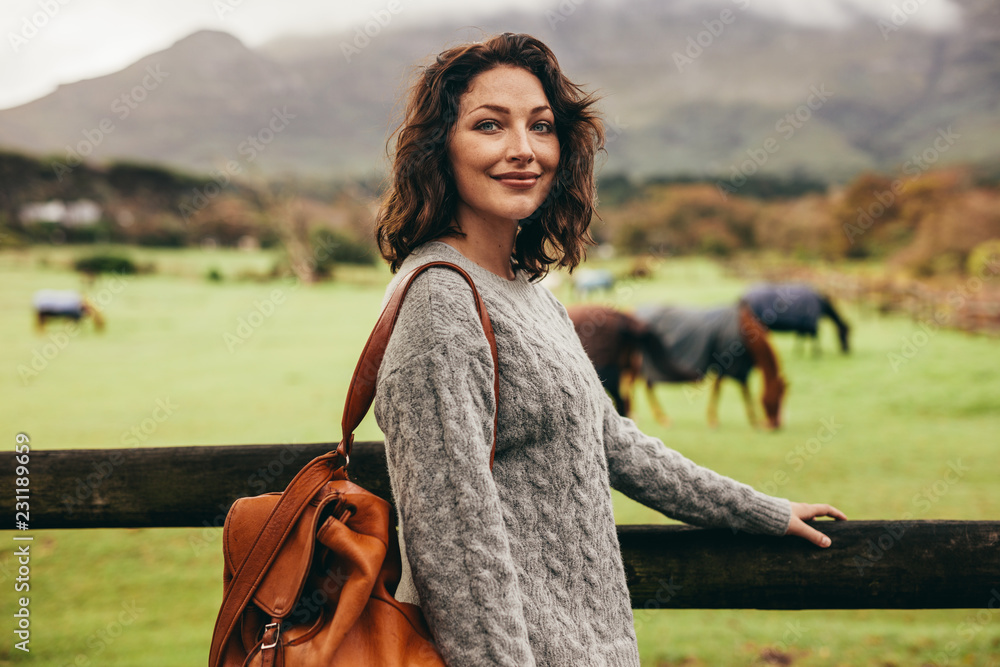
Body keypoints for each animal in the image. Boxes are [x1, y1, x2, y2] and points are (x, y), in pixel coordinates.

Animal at [632, 306, 788, 430]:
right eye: (778, 397)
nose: (776, 425)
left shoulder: (729, 367)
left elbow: (723, 388)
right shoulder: (731, 365)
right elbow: (737, 390)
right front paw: (751, 420)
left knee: (646, 385)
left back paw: (656, 417)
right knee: (641, 384)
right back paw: (654, 418)